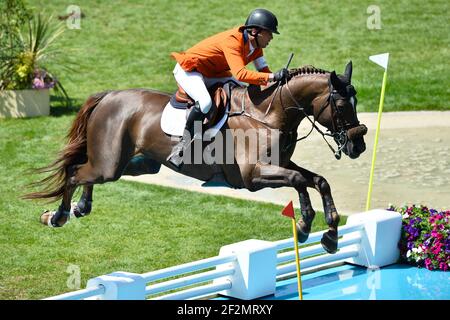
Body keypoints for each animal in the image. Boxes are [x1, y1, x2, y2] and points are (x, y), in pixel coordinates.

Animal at [24, 61, 368, 254]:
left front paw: (331, 233)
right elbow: (298, 181)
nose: (358, 145)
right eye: (341, 105)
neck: (269, 114)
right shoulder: (253, 176)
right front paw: (305, 224)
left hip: (136, 165)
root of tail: (108, 95)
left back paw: (81, 207)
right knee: (75, 172)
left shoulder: (279, 165)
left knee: (84, 172)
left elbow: (319, 180)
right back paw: (57, 216)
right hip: (109, 164)